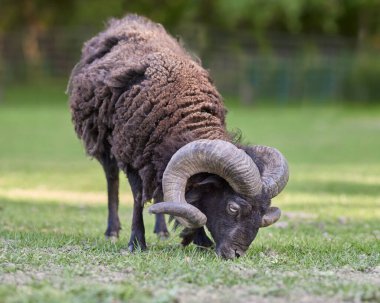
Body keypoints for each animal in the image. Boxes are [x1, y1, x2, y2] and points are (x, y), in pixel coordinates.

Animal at [68, 15, 288, 260]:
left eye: (262, 211)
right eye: (233, 207)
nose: (235, 254)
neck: (181, 110)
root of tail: (126, 20)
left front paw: (200, 240)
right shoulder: (132, 157)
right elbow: (138, 198)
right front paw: (136, 242)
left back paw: (161, 231)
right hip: (104, 142)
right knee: (112, 180)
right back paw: (112, 231)